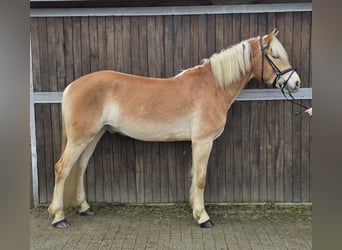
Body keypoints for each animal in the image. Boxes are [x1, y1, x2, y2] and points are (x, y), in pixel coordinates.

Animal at [48, 28, 302, 229]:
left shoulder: (197, 143)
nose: (296, 82)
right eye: (275, 55)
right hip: (80, 138)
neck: (212, 86)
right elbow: (200, 178)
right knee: (62, 169)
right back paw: (58, 217)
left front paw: (195, 210)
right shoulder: (203, 141)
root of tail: (71, 86)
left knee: (80, 168)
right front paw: (203, 218)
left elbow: (193, 176)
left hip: (93, 136)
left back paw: (84, 208)